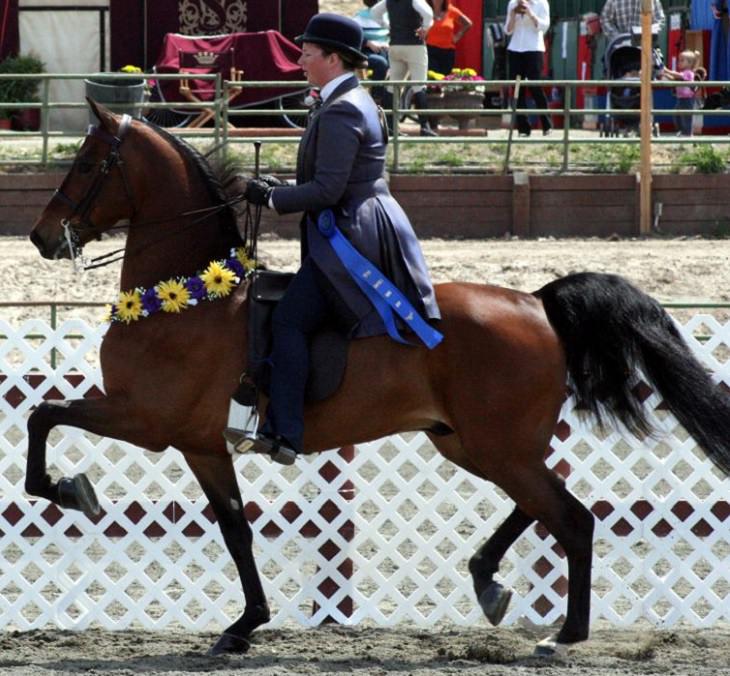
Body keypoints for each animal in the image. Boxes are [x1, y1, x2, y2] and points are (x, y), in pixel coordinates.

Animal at [25, 100, 728, 656]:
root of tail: (537, 301)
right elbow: (235, 528)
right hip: (471, 443)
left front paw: (69, 489)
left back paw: (563, 634)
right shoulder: (201, 444)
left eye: (87, 164)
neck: (186, 297)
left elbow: (44, 414)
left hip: (498, 446)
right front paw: (245, 625)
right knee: (539, 508)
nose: (39, 237)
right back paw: (488, 580)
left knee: (571, 518)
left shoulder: (144, 419)